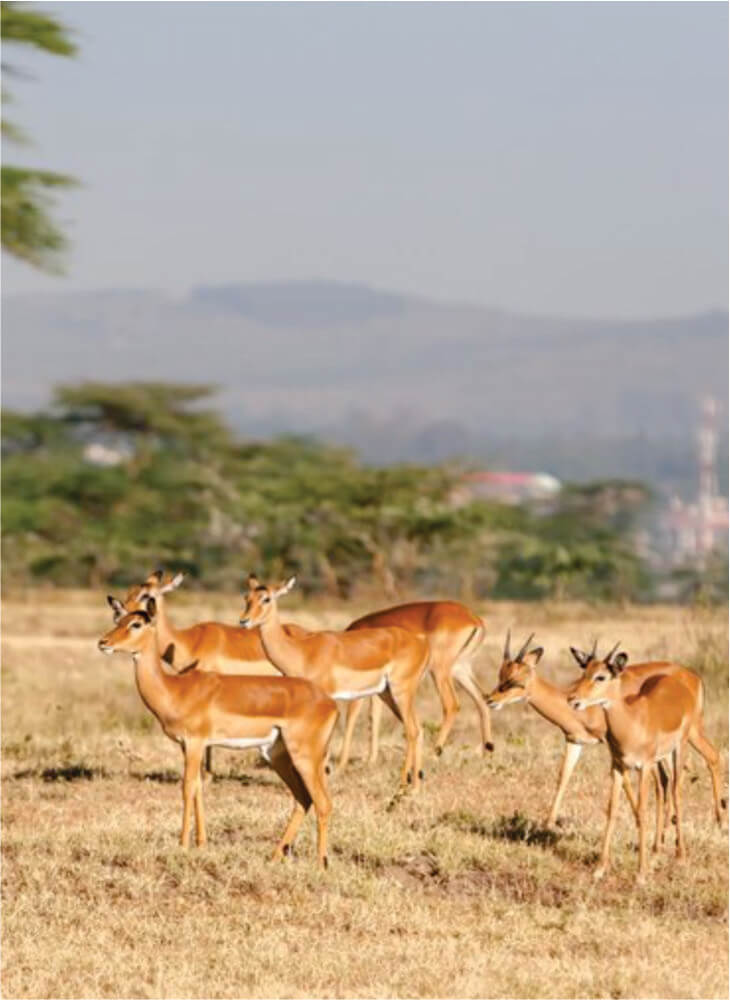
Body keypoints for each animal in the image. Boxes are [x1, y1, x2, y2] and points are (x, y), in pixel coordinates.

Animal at [96, 600, 336, 868]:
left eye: (136, 624)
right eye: (119, 620)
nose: (103, 642)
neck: (175, 690)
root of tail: (329, 702)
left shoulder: (195, 743)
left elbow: (187, 787)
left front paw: (182, 845)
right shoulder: (188, 746)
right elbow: (199, 787)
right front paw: (201, 843)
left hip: (304, 757)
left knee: (323, 803)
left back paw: (321, 863)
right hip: (277, 755)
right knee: (303, 799)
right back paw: (274, 856)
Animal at [239, 576, 432, 792]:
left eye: (266, 599)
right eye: (247, 597)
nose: (244, 621)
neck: (301, 652)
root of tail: (422, 645)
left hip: (401, 691)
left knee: (412, 731)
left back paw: (409, 785)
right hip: (388, 694)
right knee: (418, 728)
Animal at [336, 596, 490, 768]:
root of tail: (473, 619)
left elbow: (351, 718)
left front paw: (341, 764)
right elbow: (373, 717)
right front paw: (371, 760)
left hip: (439, 670)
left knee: (451, 705)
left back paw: (433, 755)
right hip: (459, 669)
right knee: (483, 701)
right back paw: (486, 755)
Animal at [484, 632, 724, 836]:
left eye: (515, 681)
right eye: (500, 676)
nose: (490, 700)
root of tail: (693, 677)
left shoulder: (611, 744)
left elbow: (624, 780)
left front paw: (637, 820)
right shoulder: (574, 741)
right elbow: (563, 776)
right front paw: (547, 824)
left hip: (692, 732)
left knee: (712, 757)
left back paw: (720, 821)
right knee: (668, 779)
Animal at [568, 644, 716, 880]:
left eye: (601, 676)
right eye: (584, 672)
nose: (573, 699)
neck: (631, 722)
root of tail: (684, 681)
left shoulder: (643, 767)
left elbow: (642, 811)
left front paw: (641, 874)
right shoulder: (618, 767)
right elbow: (611, 810)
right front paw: (600, 869)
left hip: (680, 747)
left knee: (676, 791)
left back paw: (680, 856)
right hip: (662, 758)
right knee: (664, 788)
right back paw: (657, 851)